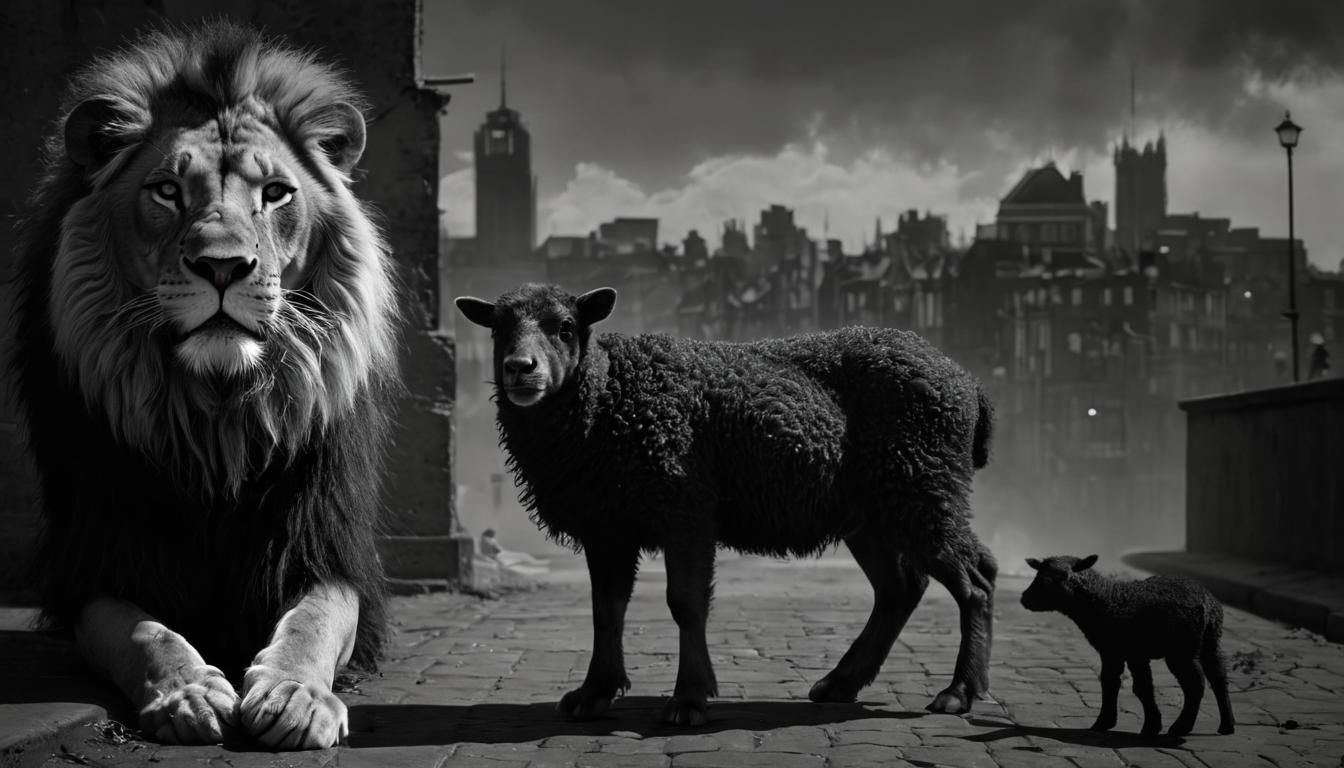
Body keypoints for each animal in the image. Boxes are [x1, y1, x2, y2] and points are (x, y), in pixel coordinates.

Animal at [7, 23, 401, 750]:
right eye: (166, 190)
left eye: (275, 193)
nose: (223, 266)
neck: (217, 416)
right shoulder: (101, 559)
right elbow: (141, 632)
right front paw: (187, 691)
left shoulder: (323, 546)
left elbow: (315, 621)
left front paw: (296, 695)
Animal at [455, 282, 998, 726]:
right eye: (497, 329)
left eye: (566, 327)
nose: (520, 369)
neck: (609, 396)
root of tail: (967, 383)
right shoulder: (606, 527)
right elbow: (605, 610)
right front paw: (594, 693)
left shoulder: (685, 509)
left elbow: (685, 604)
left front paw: (690, 700)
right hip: (875, 512)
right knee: (901, 588)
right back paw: (840, 683)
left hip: (926, 485)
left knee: (975, 581)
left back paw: (958, 692)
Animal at [1020, 554, 1235, 737]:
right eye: (1038, 575)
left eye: (1061, 577)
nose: (1024, 599)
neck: (1104, 599)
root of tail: (1206, 605)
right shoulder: (1120, 652)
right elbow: (1118, 682)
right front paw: (1116, 722)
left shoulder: (1126, 650)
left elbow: (1133, 686)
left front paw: (1145, 726)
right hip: (1211, 640)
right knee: (1219, 677)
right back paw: (1227, 725)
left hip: (1181, 648)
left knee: (1195, 683)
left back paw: (1181, 727)